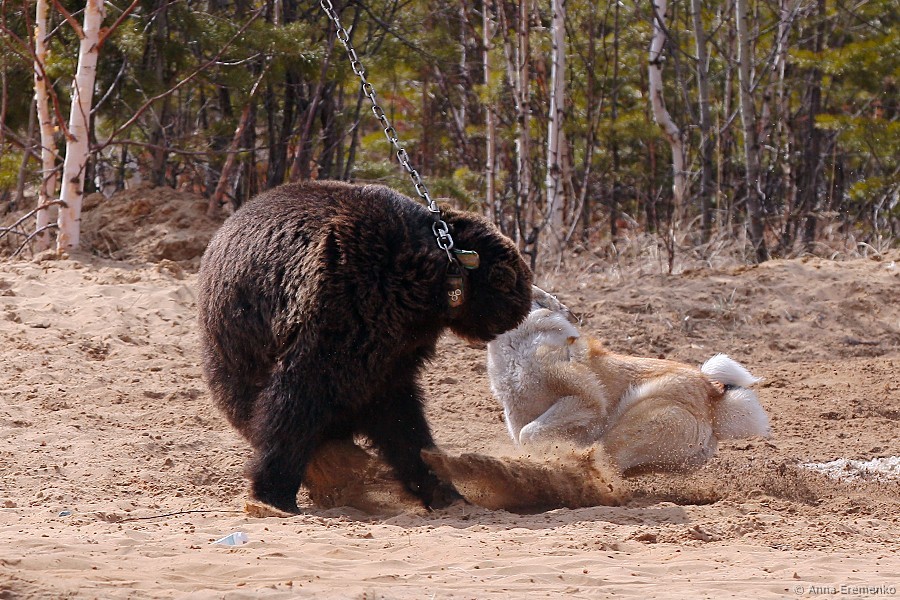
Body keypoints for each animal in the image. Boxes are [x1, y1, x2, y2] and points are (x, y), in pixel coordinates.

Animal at [197, 180, 532, 513]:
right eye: (513, 279)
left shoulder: (393, 352)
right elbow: (297, 400)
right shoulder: (340, 309)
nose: (524, 306)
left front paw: (440, 488)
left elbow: (400, 420)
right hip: (238, 342)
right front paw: (274, 490)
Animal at [487, 290, 771, 474]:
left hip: (634, 420)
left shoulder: (586, 401)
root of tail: (714, 402)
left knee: (601, 457)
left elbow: (529, 433)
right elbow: (524, 436)